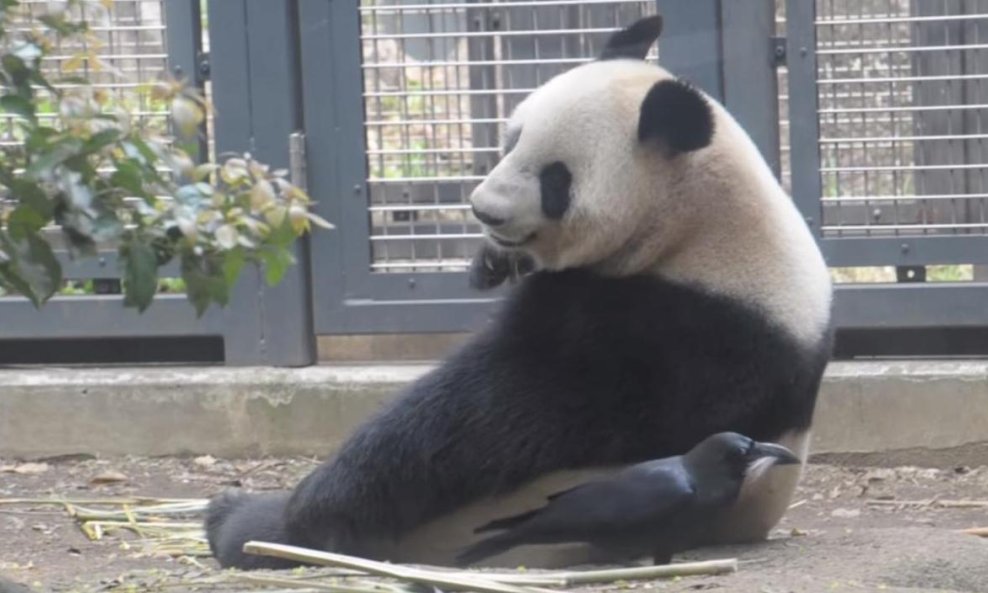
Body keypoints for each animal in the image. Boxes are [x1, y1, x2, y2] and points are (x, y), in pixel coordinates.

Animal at [205, 14, 834, 570]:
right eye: (511, 139)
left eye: (556, 179)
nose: (484, 210)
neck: (696, 223)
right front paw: (491, 261)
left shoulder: (686, 331)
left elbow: (496, 411)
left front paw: (312, 507)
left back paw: (242, 521)